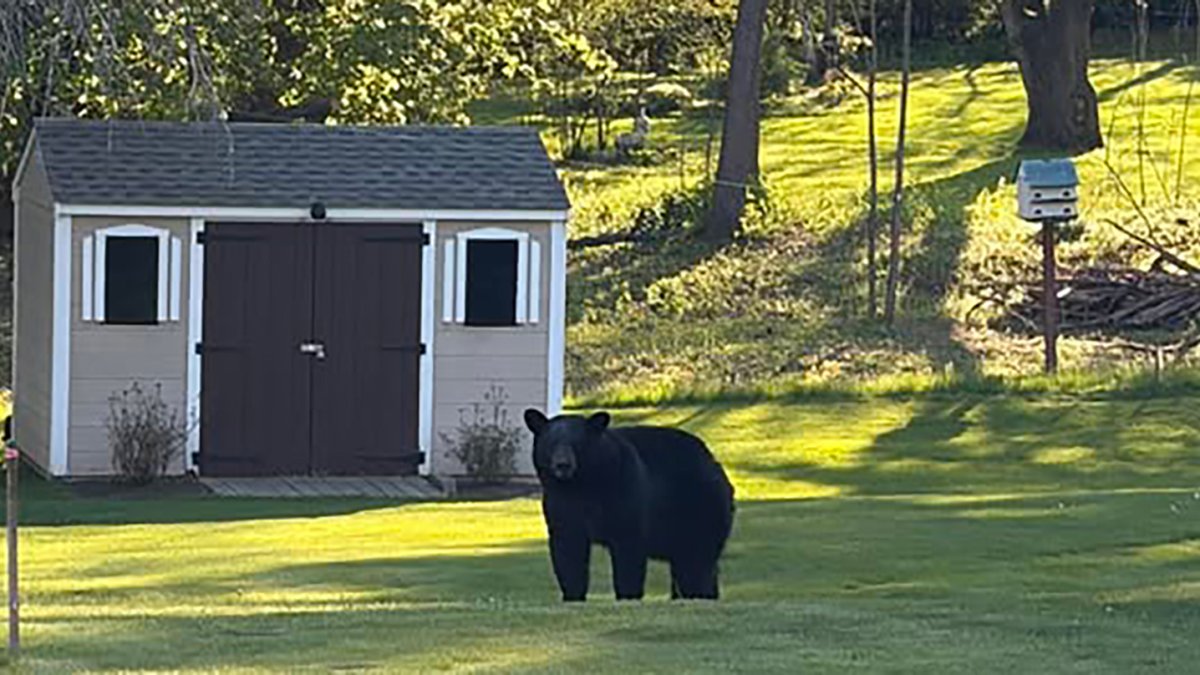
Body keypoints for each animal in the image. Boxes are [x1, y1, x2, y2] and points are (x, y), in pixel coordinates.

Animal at [523, 408, 735, 602]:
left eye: (577, 443)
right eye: (551, 443)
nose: (563, 465)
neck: (582, 485)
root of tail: (716, 465)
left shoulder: (624, 490)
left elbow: (628, 548)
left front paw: (627, 595)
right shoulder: (560, 504)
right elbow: (568, 548)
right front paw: (573, 596)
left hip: (700, 509)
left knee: (695, 562)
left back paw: (698, 595)